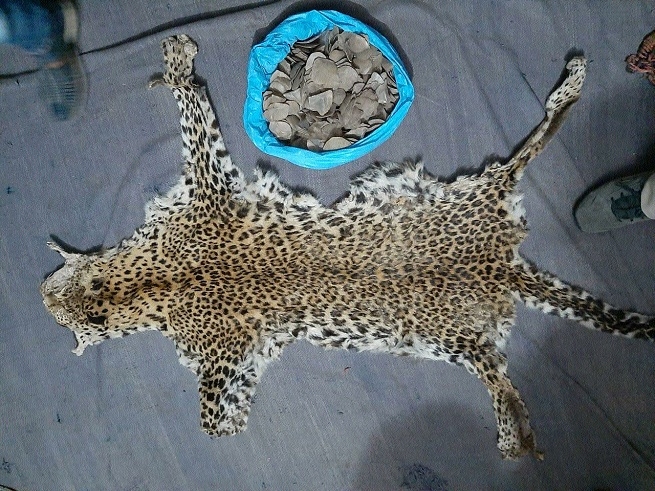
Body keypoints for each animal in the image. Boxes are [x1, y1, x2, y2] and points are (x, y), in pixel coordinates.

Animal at [40, 34, 654, 460]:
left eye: (60, 313)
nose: (42, 298)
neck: (150, 281)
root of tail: (499, 264)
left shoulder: (208, 185)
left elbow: (212, 423)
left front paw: (178, 62)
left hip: (469, 264)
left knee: (538, 143)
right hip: (472, 278)